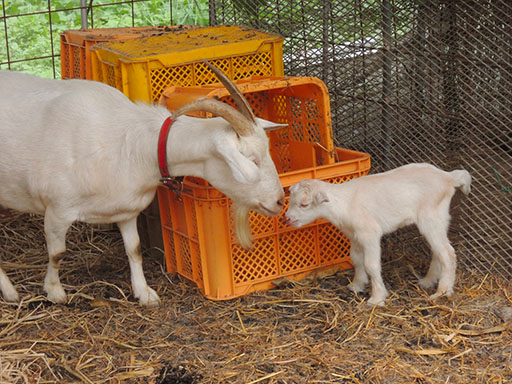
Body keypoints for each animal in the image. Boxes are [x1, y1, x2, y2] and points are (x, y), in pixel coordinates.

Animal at [0, 60, 286, 306]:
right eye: (252, 160)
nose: (279, 201)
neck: (129, 143)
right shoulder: (58, 209)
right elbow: (57, 253)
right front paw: (54, 291)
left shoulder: (125, 210)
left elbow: (134, 249)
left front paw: (145, 293)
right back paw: (11, 292)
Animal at [284, 164, 472, 308]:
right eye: (291, 201)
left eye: (304, 204)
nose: (287, 219)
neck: (344, 203)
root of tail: (448, 177)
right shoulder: (354, 235)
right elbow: (356, 259)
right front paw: (357, 285)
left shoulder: (369, 233)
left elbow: (371, 265)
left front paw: (377, 298)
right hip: (438, 219)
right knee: (438, 251)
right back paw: (428, 281)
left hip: (431, 217)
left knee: (447, 253)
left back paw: (442, 291)